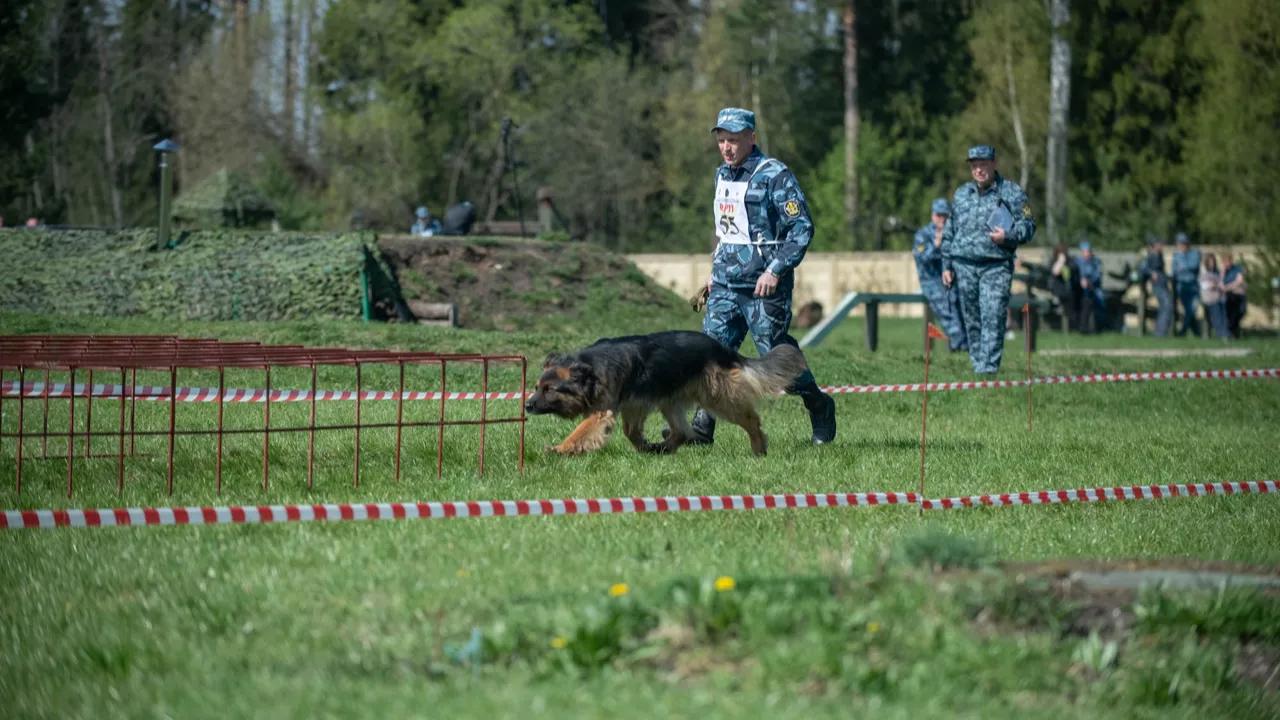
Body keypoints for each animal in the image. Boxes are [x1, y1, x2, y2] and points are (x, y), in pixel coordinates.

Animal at [522, 330, 803, 453]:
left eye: (549, 390)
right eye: (536, 388)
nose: (527, 405)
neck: (591, 370)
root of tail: (724, 349)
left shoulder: (602, 412)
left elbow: (580, 433)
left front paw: (560, 449)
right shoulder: (634, 406)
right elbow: (631, 432)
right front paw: (645, 447)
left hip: (718, 398)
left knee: (752, 420)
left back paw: (759, 448)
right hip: (671, 402)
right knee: (681, 431)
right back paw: (663, 448)